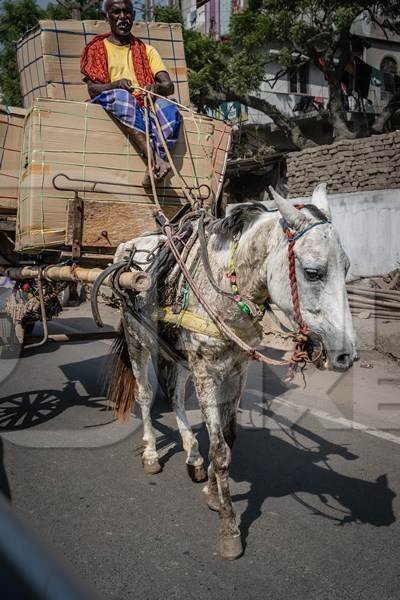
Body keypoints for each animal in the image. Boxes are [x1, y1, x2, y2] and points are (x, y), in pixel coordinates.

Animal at [105, 185, 356, 560]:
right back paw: (151, 454)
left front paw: (211, 489)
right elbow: (220, 450)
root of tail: (129, 246)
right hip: (139, 341)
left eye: (347, 268)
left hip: (178, 354)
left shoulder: (237, 369)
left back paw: (192, 455)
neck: (224, 288)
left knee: (175, 395)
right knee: (146, 396)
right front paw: (228, 528)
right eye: (313, 272)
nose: (346, 354)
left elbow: (227, 436)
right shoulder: (208, 372)